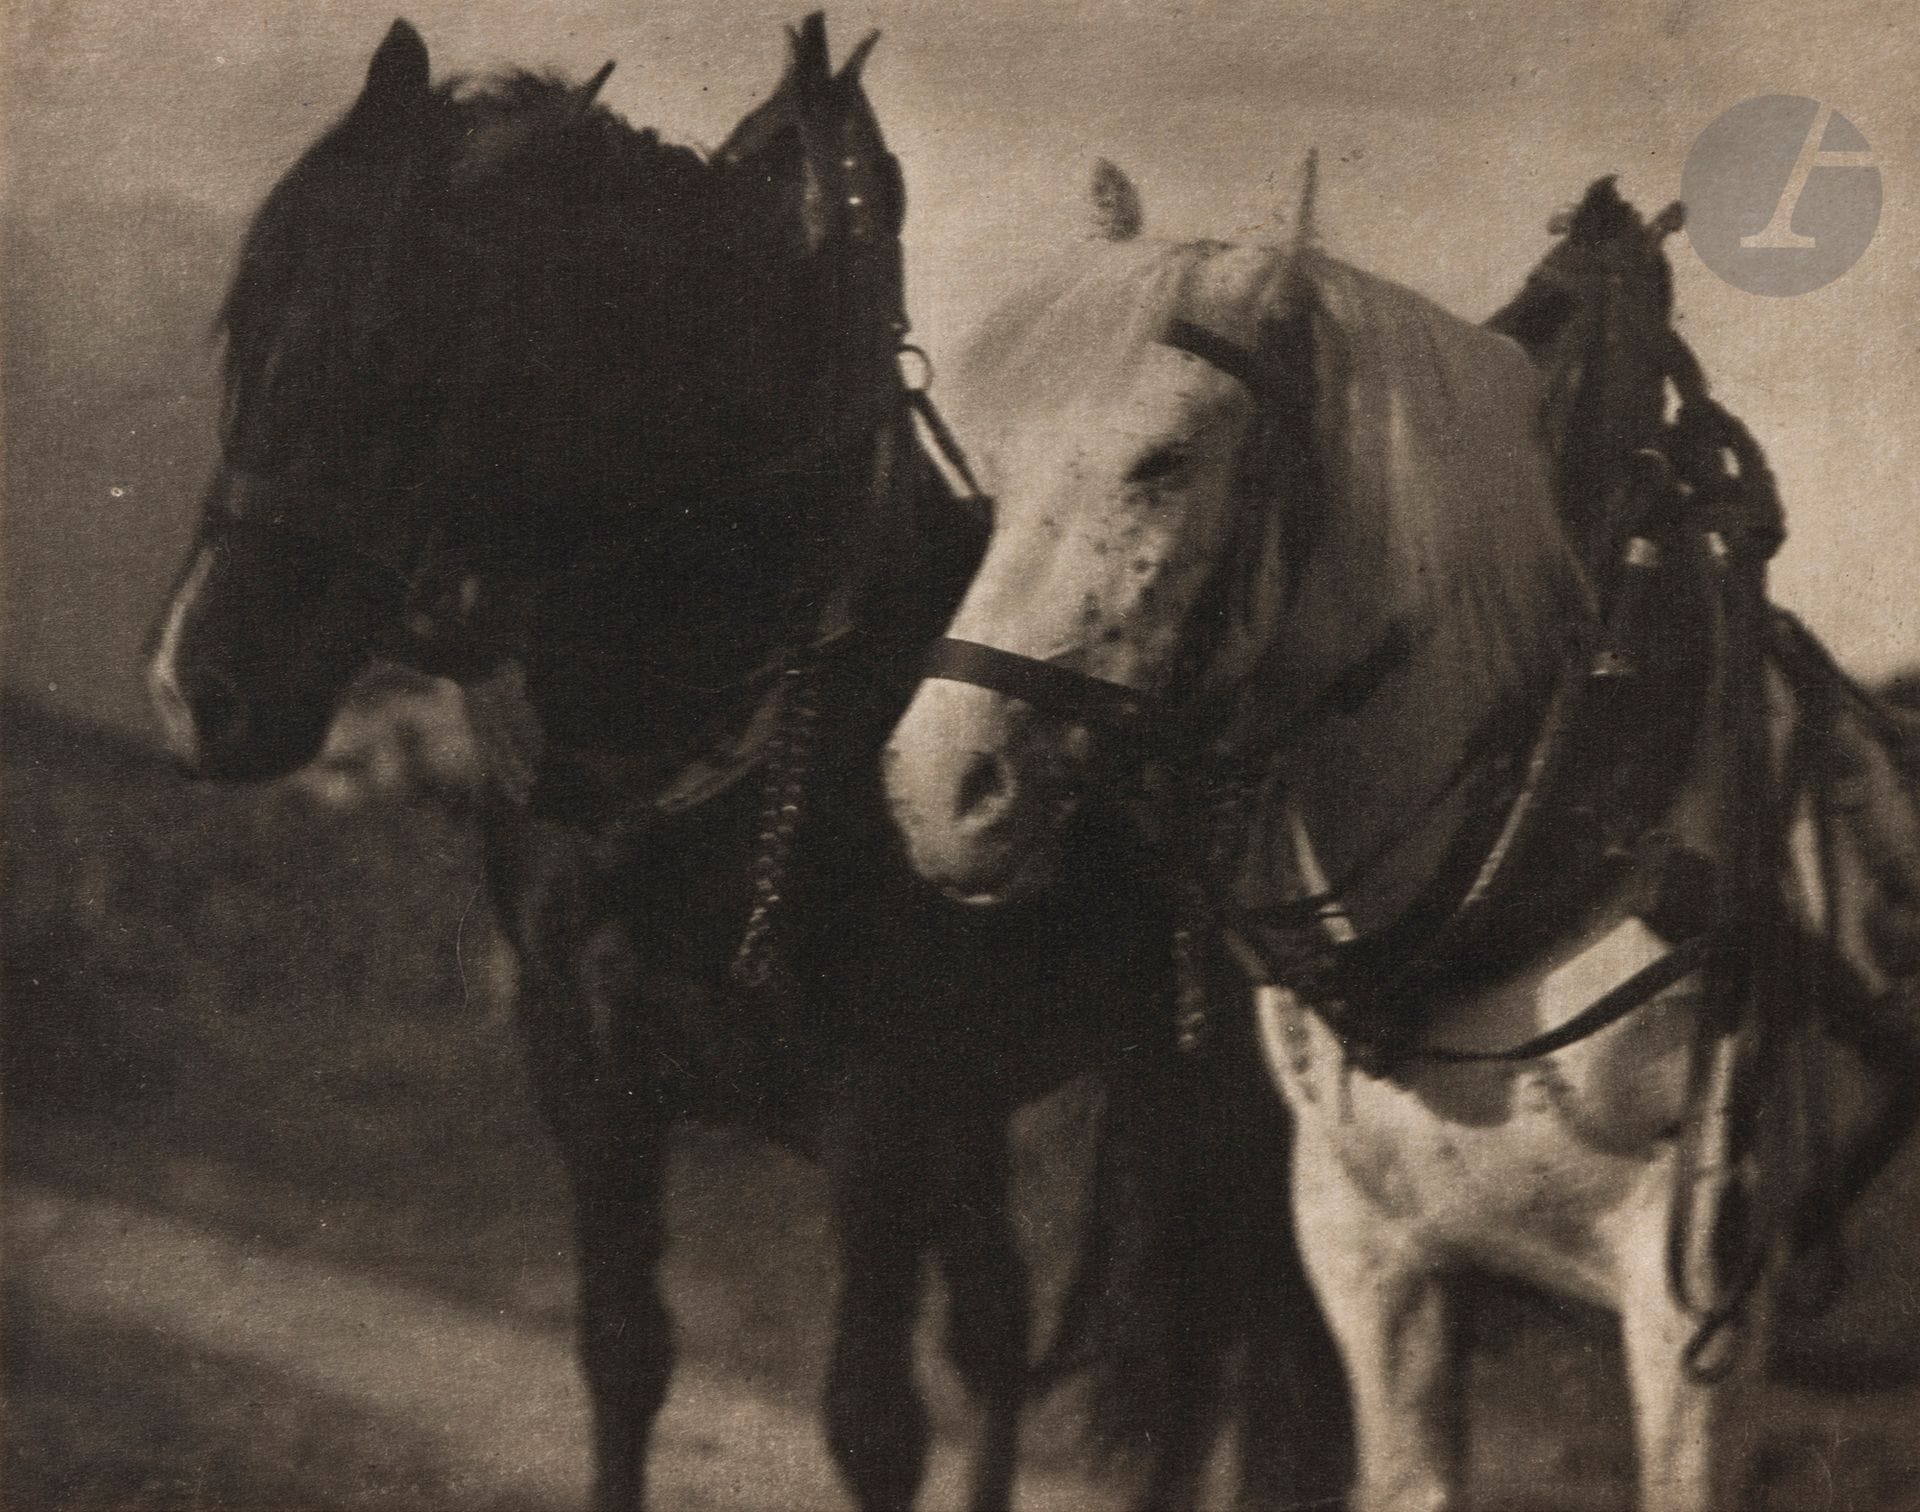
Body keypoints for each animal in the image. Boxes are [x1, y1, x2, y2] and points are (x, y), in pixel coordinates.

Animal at [144, 20, 1348, 1511]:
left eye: (392, 348)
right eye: (249, 328)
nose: (200, 689)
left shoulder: (880, 1113)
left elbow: (872, 1422)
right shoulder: (594, 1082)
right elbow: (624, 1357)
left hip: (1213, 1107)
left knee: (1210, 1364)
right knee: (1009, 1324)